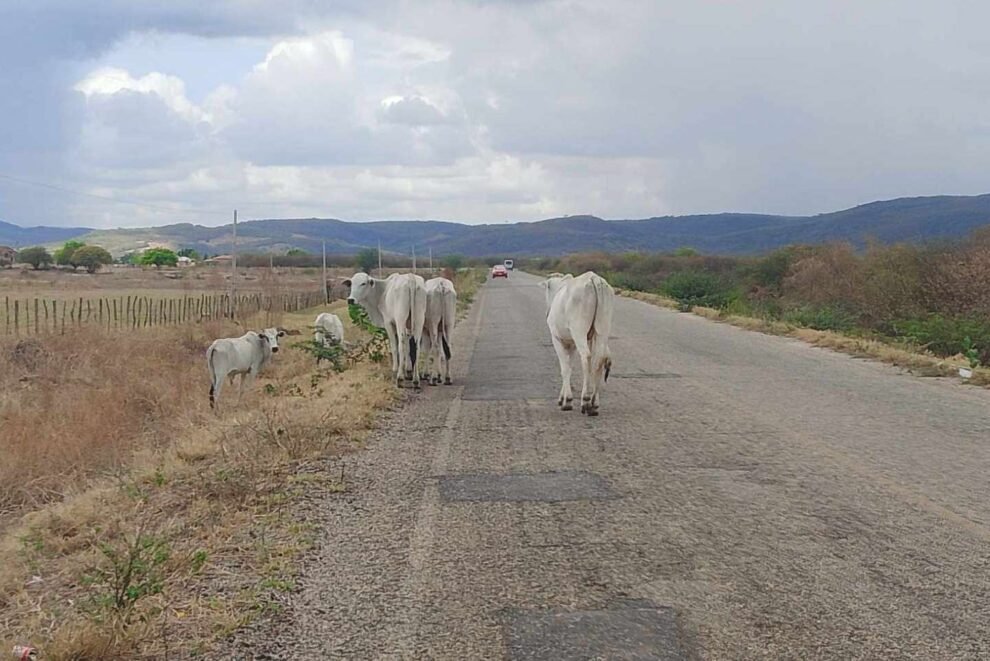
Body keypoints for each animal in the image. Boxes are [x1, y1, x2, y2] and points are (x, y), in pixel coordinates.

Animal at [544, 270, 612, 416]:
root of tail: (594, 279)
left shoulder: (557, 339)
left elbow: (565, 368)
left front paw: (567, 401)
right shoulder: (573, 343)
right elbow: (570, 366)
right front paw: (563, 398)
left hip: (579, 330)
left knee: (586, 356)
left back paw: (585, 400)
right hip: (602, 330)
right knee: (599, 359)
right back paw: (594, 403)